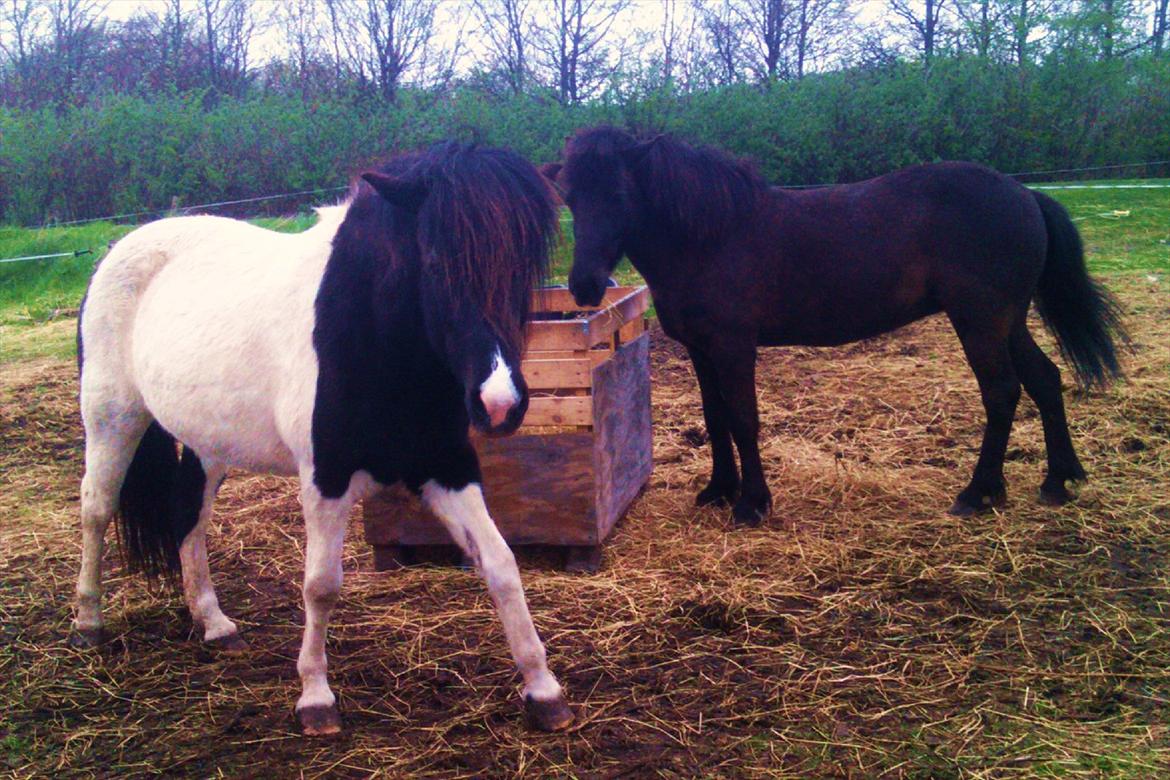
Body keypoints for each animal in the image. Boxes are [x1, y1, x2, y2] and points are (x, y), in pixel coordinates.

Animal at [70, 143, 573, 734]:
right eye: (433, 262)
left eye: (526, 267)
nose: (500, 404)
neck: (369, 334)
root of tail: (118, 250)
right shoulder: (325, 478)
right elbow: (321, 585)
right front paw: (315, 697)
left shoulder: (446, 466)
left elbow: (501, 565)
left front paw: (543, 689)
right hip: (112, 417)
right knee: (96, 508)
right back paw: (88, 623)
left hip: (206, 441)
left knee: (187, 514)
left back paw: (215, 624)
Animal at [554, 128, 1123, 528]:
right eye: (570, 198)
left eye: (620, 193)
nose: (584, 285)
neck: (708, 236)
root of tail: (1023, 194)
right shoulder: (701, 349)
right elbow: (715, 420)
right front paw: (718, 491)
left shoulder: (734, 347)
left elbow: (743, 420)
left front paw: (752, 503)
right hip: (1009, 321)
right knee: (1045, 380)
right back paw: (1058, 479)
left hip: (981, 321)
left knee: (1002, 392)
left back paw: (978, 492)